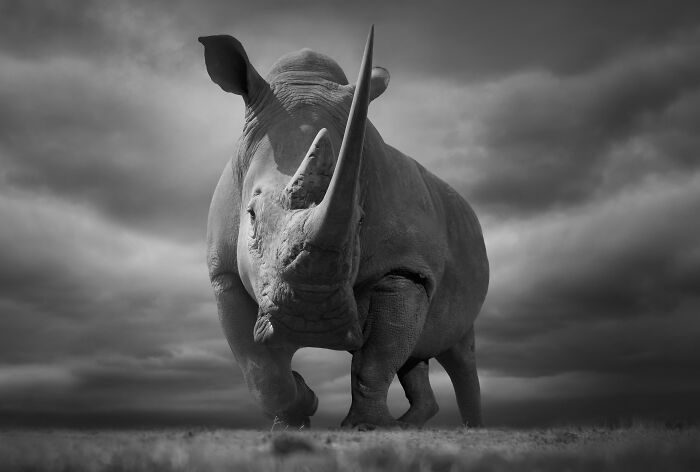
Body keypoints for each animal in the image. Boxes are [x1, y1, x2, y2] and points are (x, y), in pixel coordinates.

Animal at [199, 27, 489, 429]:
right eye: (251, 215)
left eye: (360, 220)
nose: (311, 323)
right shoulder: (223, 271)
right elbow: (260, 370)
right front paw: (299, 409)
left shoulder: (406, 268)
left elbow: (375, 360)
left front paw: (363, 426)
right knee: (415, 356)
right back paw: (407, 424)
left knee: (460, 351)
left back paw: (467, 426)